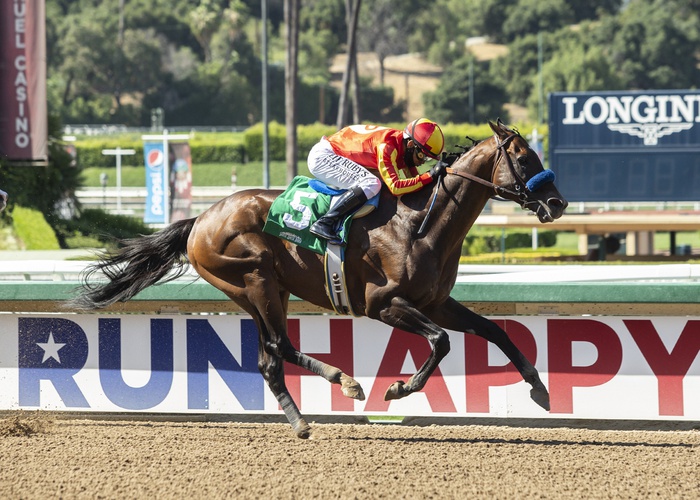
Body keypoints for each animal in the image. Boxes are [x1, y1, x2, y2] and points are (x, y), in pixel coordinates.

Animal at [69, 120, 568, 438]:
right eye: (523, 157)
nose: (558, 203)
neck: (418, 225)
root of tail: (199, 220)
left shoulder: (435, 302)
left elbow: (493, 330)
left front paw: (540, 389)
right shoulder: (383, 304)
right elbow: (441, 341)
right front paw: (398, 388)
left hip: (262, 289)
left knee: (272, 356)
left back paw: (310, 410)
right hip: (254, 278)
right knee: (277, 348)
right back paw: (341, 385)